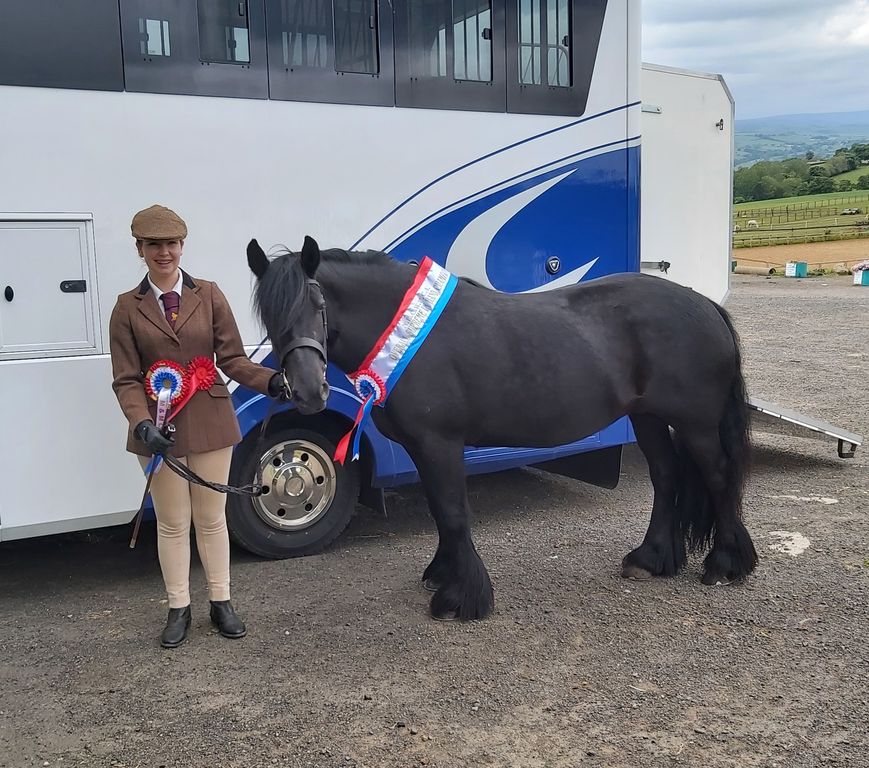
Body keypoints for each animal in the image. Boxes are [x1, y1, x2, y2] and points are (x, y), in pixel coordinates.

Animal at [248, 237, 756, 620]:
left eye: (317, 302)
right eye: (268, 316)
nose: (309, 392)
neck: (409, 335)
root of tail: (704, 305)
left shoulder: (440, 443)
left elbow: (453, 512)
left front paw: (462, 597)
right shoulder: (423, 448)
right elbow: (441, 512)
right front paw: (444, 573)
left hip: (696, 424)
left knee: (717, 477)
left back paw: (725, 564)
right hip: (647, 417)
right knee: (666, 476)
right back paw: (650, 559)